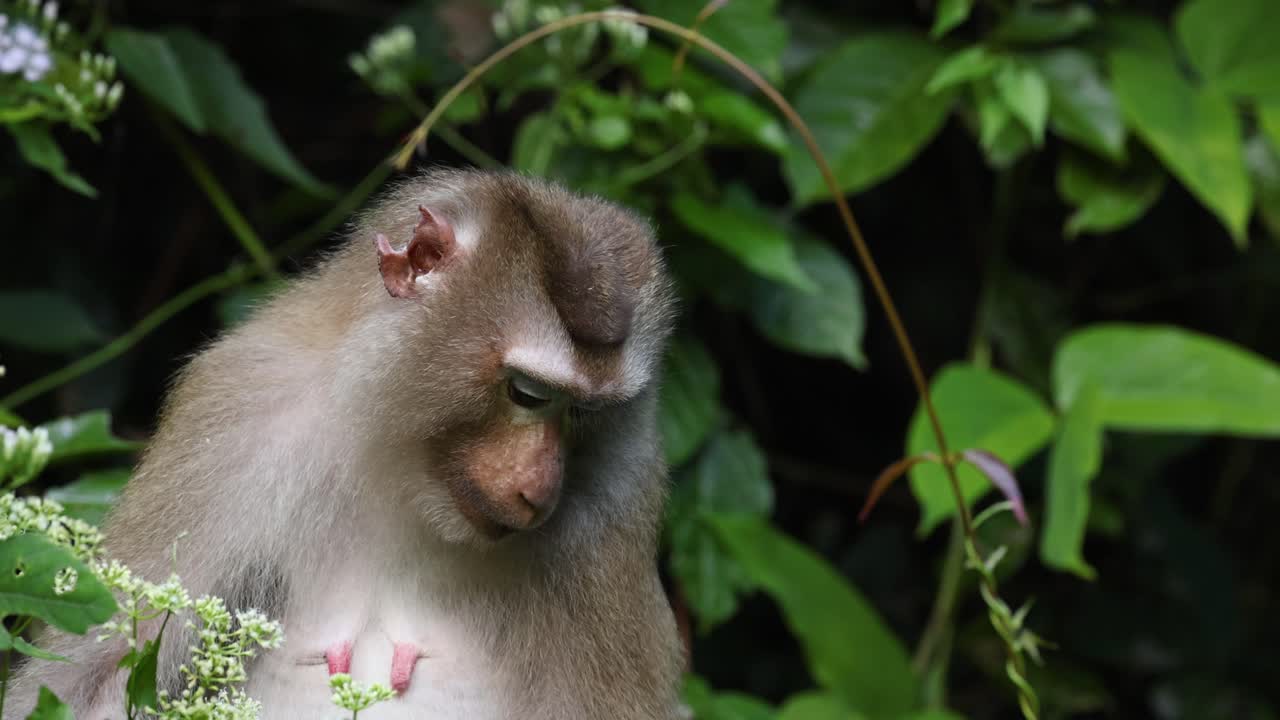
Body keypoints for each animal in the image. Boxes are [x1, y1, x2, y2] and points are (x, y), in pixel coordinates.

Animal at [6, 169, 684, 719]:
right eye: (527, 393)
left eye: (586, 413)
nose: (540, 490)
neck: (400, 465)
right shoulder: (235, 414)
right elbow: (87, 684)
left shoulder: (615, 500)